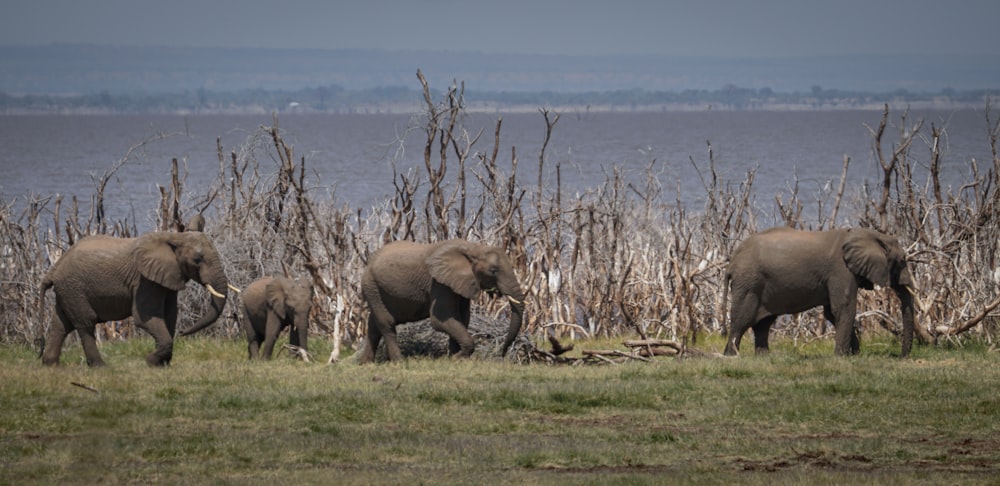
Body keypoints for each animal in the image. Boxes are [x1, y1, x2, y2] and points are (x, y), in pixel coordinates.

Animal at [39, 231, 229, 364]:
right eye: (197, 260)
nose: (183, 333)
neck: (174, 236)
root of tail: (53, 271)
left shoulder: (167, 278)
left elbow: (170, 315)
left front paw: (162, 364)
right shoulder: (144, 281)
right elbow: (145, 318)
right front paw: (150, 361)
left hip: (67, 291)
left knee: (60, 324)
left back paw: (50, 365)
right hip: (74, 288)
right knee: (85, 322)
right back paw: (100, 366)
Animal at [362, 239, 532, 364]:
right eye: (493, 271)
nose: (501, 354)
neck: (473, 248)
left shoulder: (461, 282)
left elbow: (462, 318)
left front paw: (453, 358)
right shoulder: (438, 283)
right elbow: (440, 319)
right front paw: (454, 359)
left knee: (373, 324)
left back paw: (366, 363)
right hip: (371, 285)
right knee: (386, 322)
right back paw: (399, 362)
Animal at [724, 227, 916, 356]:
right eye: (901, 261)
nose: (901, 356)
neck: (868, 234)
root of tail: (732, 261)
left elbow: (832, 313)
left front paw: (853, 355)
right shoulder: (840, 271)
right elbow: (844, 308)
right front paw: (842, 357)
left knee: (763, 323)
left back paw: (764, 357)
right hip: (748, 283)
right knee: (742, 321)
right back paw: (731, 356)